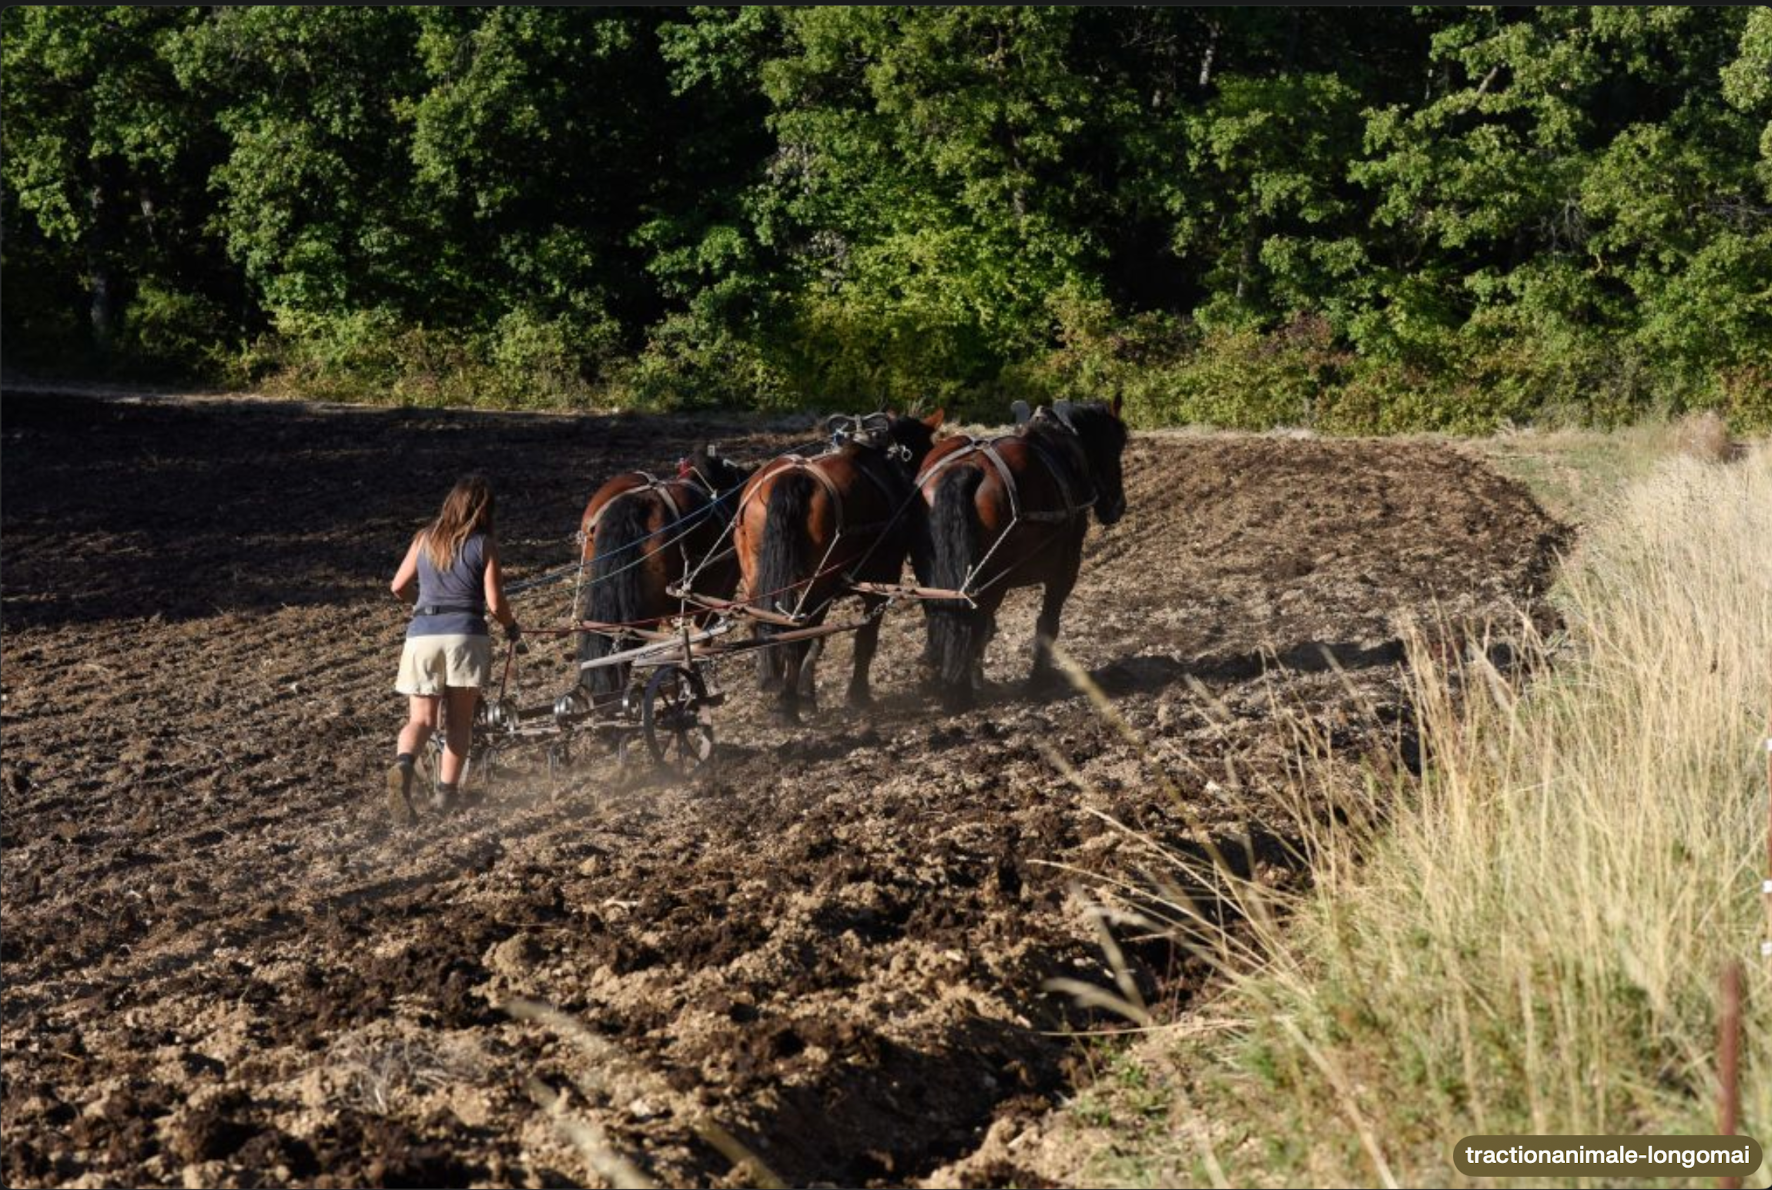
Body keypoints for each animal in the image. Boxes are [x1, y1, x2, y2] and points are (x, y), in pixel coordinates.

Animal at [734, 409, 946, 723]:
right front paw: (858, 695)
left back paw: (771, 683)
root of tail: (795, 478)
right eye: (927, 448)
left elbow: (818, 640)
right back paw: (787, 706)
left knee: (763, 622)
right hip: (816, 583)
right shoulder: (880, 581)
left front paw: (808, 695)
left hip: (759, 575)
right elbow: (865, 638)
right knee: (796, 634)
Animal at [911, 397, 1129, 710]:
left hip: (931, 574)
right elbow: (1047, 624)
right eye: (1118, 443)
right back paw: (960, 690)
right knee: (975, 622)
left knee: (945, 616)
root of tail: (969, 467)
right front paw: (1037, 682)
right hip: (991, 582)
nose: (1118, 506)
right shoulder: (1065, 571)